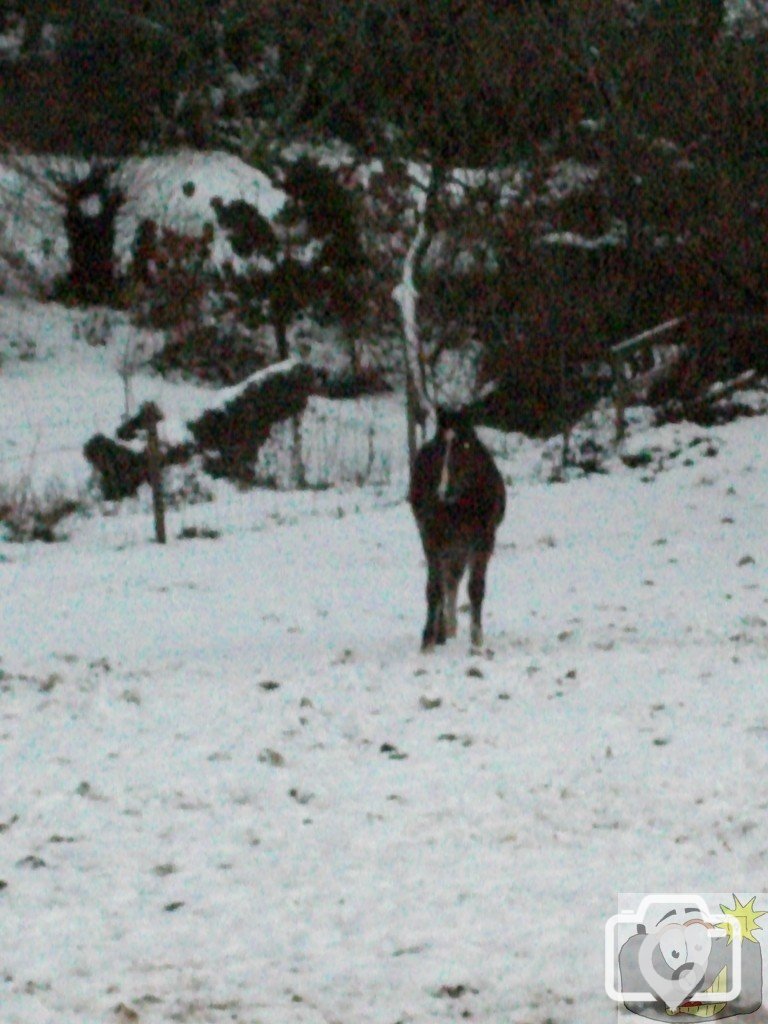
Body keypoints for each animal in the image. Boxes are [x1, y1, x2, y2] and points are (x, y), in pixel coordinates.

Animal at [411, 405, 507, 651]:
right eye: (439, 448)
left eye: (465, 445)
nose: (445, 490)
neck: (461, 504)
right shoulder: (432, 539)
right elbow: (434, 588)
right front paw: (428, 639)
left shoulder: (484, 541)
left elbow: (475, 588)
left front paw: (477, 638)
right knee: (447, 581)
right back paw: (443, 631)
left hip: (460, 547)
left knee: (453, 579)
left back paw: (450, 629)